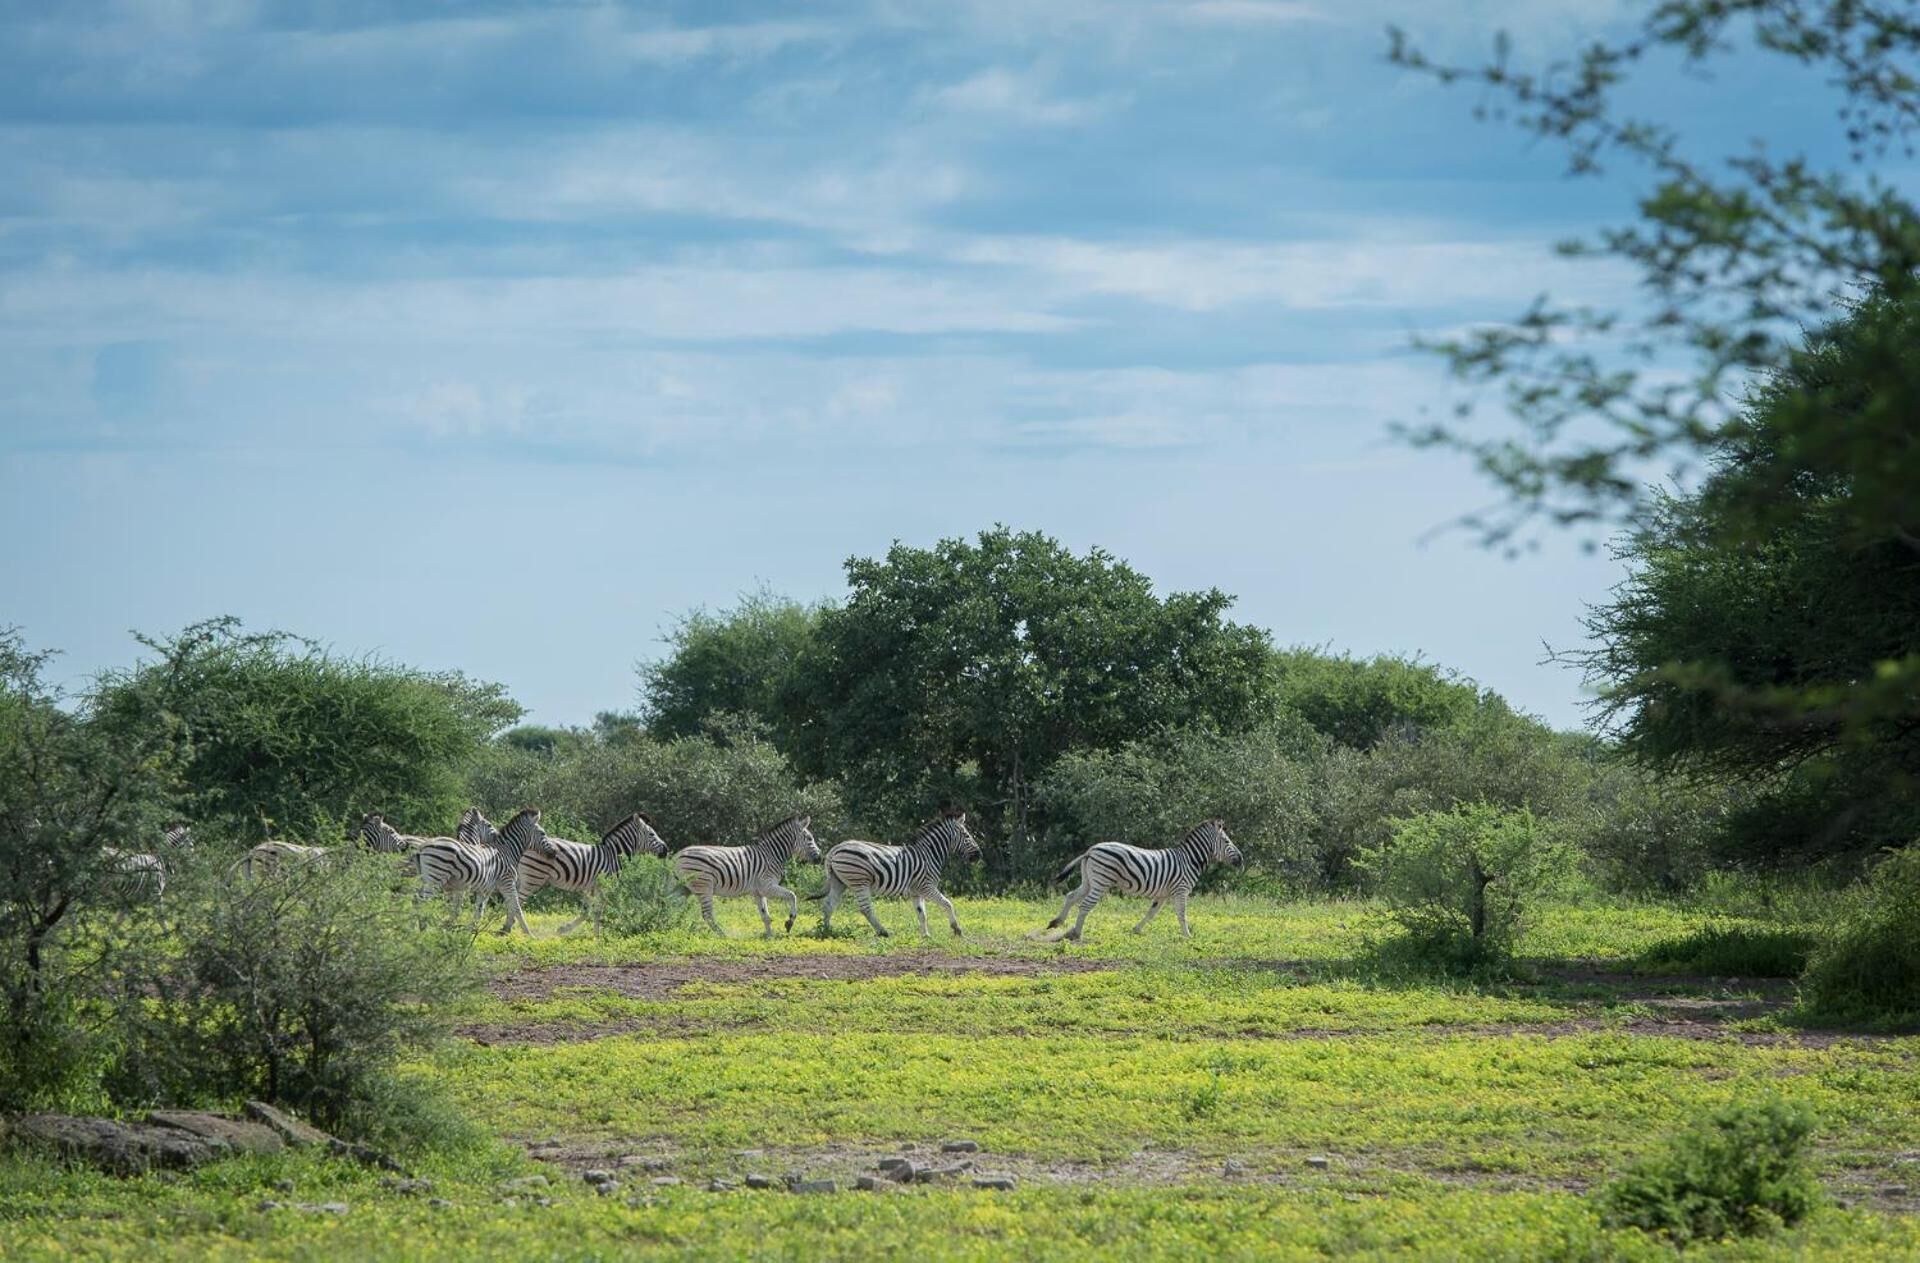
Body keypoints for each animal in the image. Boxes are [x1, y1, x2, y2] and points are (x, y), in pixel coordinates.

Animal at [403, 807, 542, 934]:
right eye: (489, 824)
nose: (497, 834)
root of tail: (422, 847)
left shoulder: (474, 888)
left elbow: (472, 910)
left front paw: (460, 929)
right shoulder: (469, 887)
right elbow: (459, 908)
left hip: (425, 878)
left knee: (416, 899)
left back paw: (413, 929)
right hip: (434, 878)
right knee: (421, 901)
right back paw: (419, 929)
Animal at [509, 812, 670, 936]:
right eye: (651, 834)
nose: (666, 850)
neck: (614, 855)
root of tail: (526, 846)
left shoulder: (590, 888)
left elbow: (587, 911)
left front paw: (565, 929)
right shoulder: (604, 888)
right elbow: (597, 911)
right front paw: (596, 936)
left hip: (523, 878)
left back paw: (508, 929)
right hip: (533, 878)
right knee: (516, 902)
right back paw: (517, 930)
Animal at [673, 815, 821, 938]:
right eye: (809, 838)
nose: (820, 858)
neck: (771, 855)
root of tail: (679, 855)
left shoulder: (759, 892)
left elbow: (765, 915)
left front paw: (770, 937)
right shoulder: (767, 886)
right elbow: (792, 895)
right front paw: (789, 922)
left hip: (682, 888)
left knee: (671, 905)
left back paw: (673, 929)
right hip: (703, 886)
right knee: (707, 915)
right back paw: (724, 936)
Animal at [815, 810, 981, 938]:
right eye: (967, 835)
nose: (978, 855)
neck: (928, 855)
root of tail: (835, 849)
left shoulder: (917, 891)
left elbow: (922, 914)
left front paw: (925, 936)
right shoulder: (927, 886)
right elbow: (948, 904)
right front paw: (957, 929)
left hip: (839, 882)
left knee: (829, 905)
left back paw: (826, 931)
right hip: (859, 882)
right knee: (865, 908)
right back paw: (883, 931)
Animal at [1042, 819, 1242, 942]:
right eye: (1226, 841)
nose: (1241, 859)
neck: (1188, 859)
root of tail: (1090, 850)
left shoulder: (1163, 894)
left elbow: (1151, 913)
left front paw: (1136, 930)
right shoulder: (1181, 889)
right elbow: (1181, 913)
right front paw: (1187, 936)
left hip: (1089, 880)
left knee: (1071, 896)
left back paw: (1057, 923)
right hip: (1101, 881)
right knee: (1084, 905)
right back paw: (1076, 933)